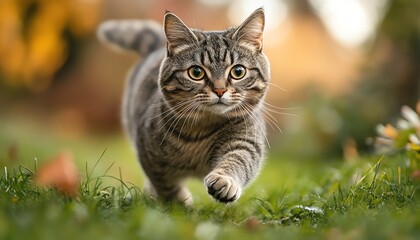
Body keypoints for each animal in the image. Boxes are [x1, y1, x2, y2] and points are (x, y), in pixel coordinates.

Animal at [97, 8, 270, 205]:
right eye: (196, 72)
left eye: (238, 71)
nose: (219, 90)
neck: (200, 132)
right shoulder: (149, 156)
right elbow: (165, 184)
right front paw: (179, 202)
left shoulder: (246, 140)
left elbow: (238, 159)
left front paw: (224, 181)